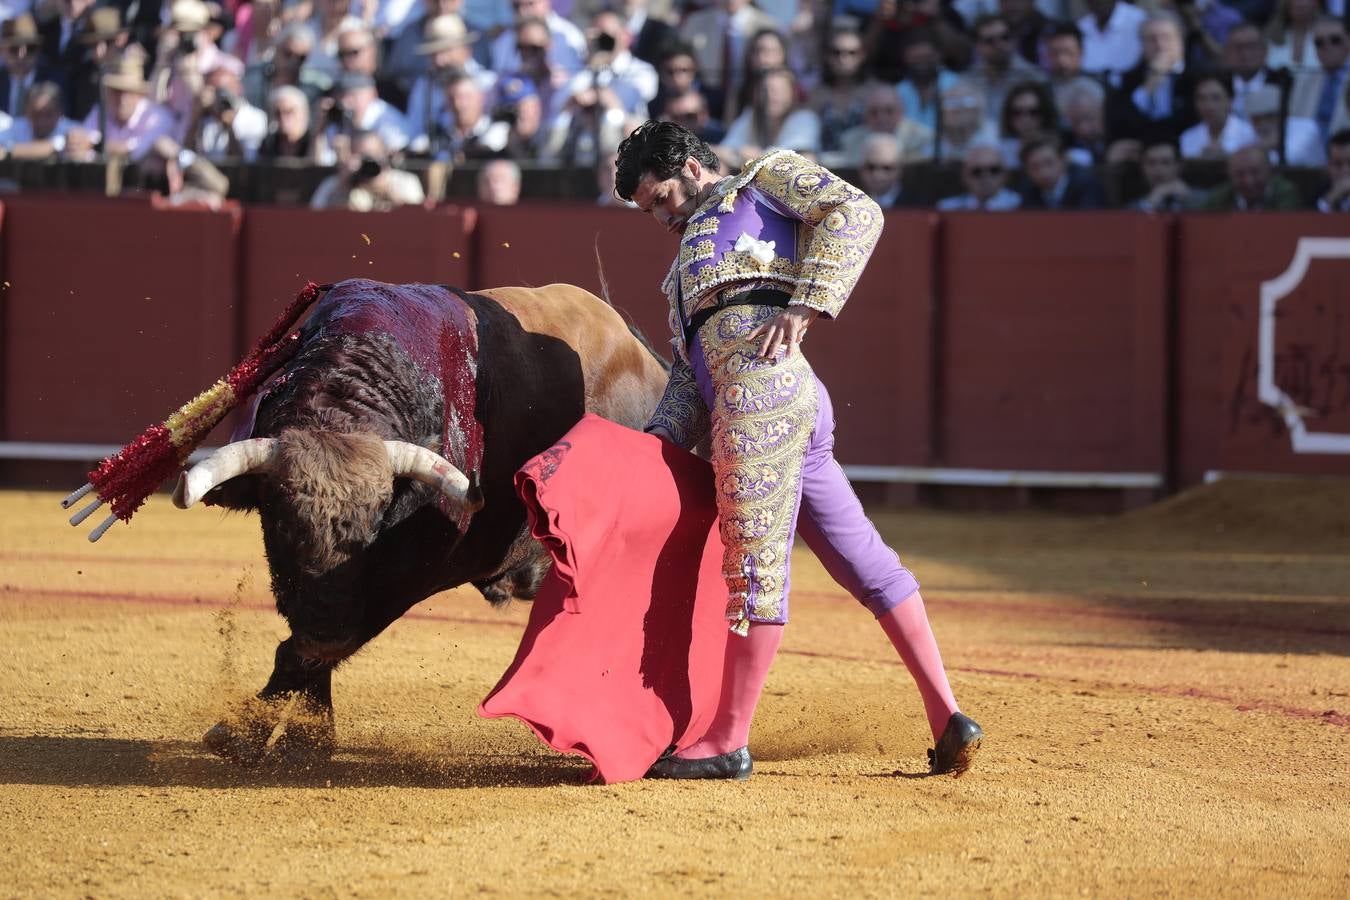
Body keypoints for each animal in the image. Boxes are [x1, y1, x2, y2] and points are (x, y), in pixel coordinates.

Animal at [174, 282, 669, 766]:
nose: (325, 625)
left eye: (378, 521)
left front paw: (244, 733)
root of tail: (651, 366)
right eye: (280, 523)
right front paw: (305, 739)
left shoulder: (407, 575)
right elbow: (308, 650)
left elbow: (311, 651)